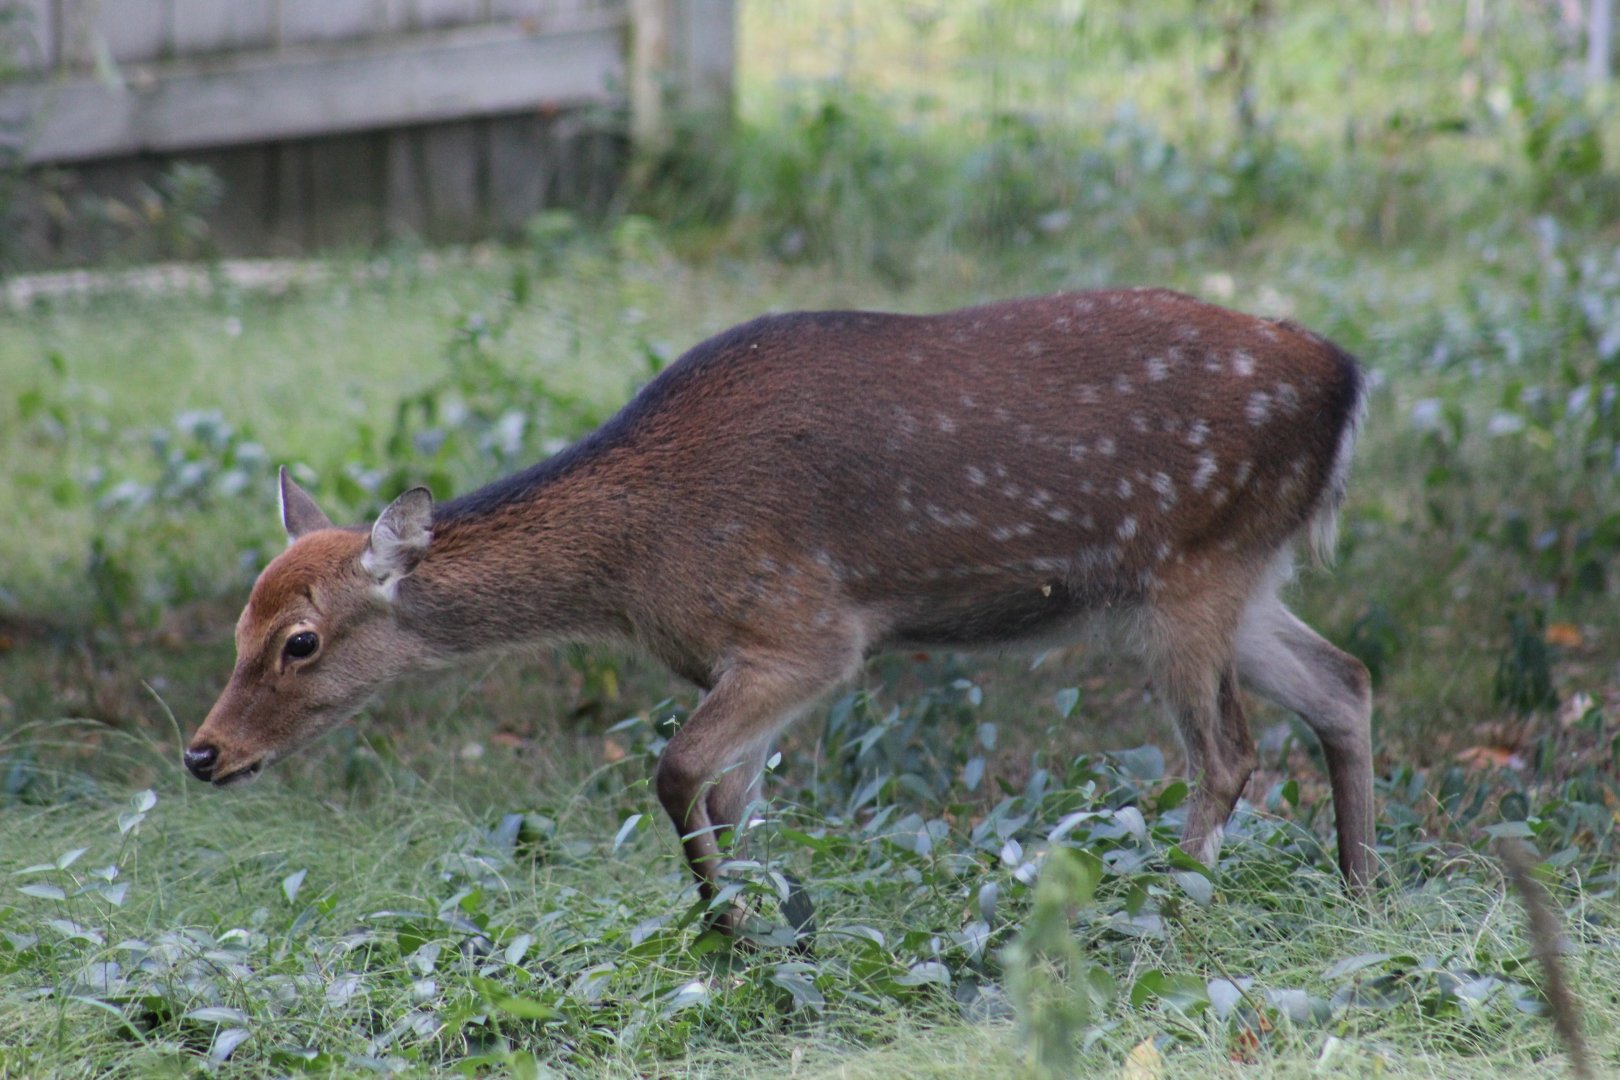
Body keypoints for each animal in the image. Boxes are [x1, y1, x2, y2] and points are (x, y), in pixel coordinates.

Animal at [186, 289, 1374, 935]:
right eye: (237, 628)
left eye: (301, 642)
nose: (202, 752)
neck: (639, 565)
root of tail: (1348, 381)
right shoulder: (747, 660)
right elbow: (729, 795)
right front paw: (766, 938)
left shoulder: (812, 636)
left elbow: (674, 770)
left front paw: (730, 929)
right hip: (1235, 576)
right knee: (1345, 683)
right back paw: (1361, 892)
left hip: (1188, 570)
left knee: (1230, 751)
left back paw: (1164, 908)